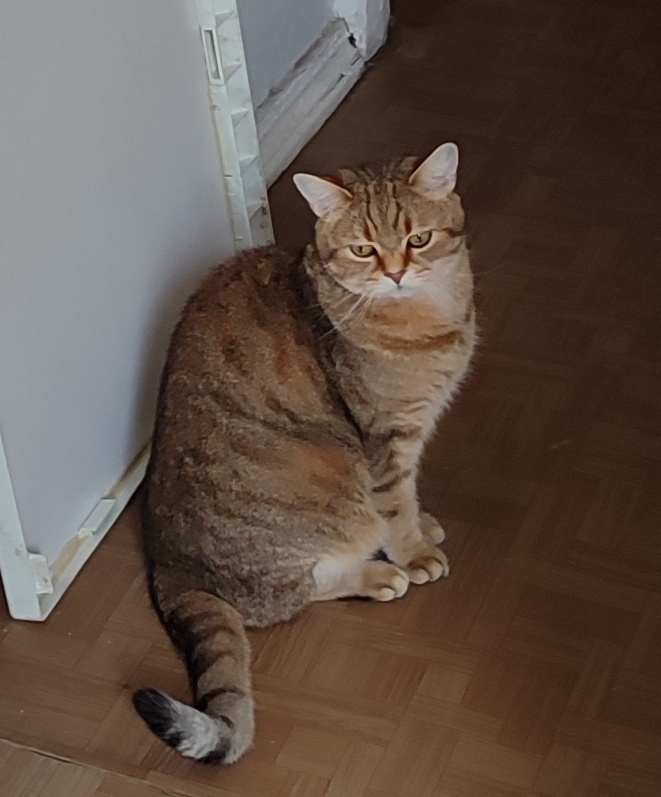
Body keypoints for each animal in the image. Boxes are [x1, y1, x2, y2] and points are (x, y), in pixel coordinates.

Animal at [133, 142, 476, 765]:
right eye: (363, 249)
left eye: (418, 239)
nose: (396, 272)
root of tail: (168, 565)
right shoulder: (386, 438)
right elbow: (397, 503)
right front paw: (413, 551)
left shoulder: (411, 434)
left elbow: (411, 493)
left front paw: (423, 524)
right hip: (326, 502)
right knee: (288, 596)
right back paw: (376, 575)